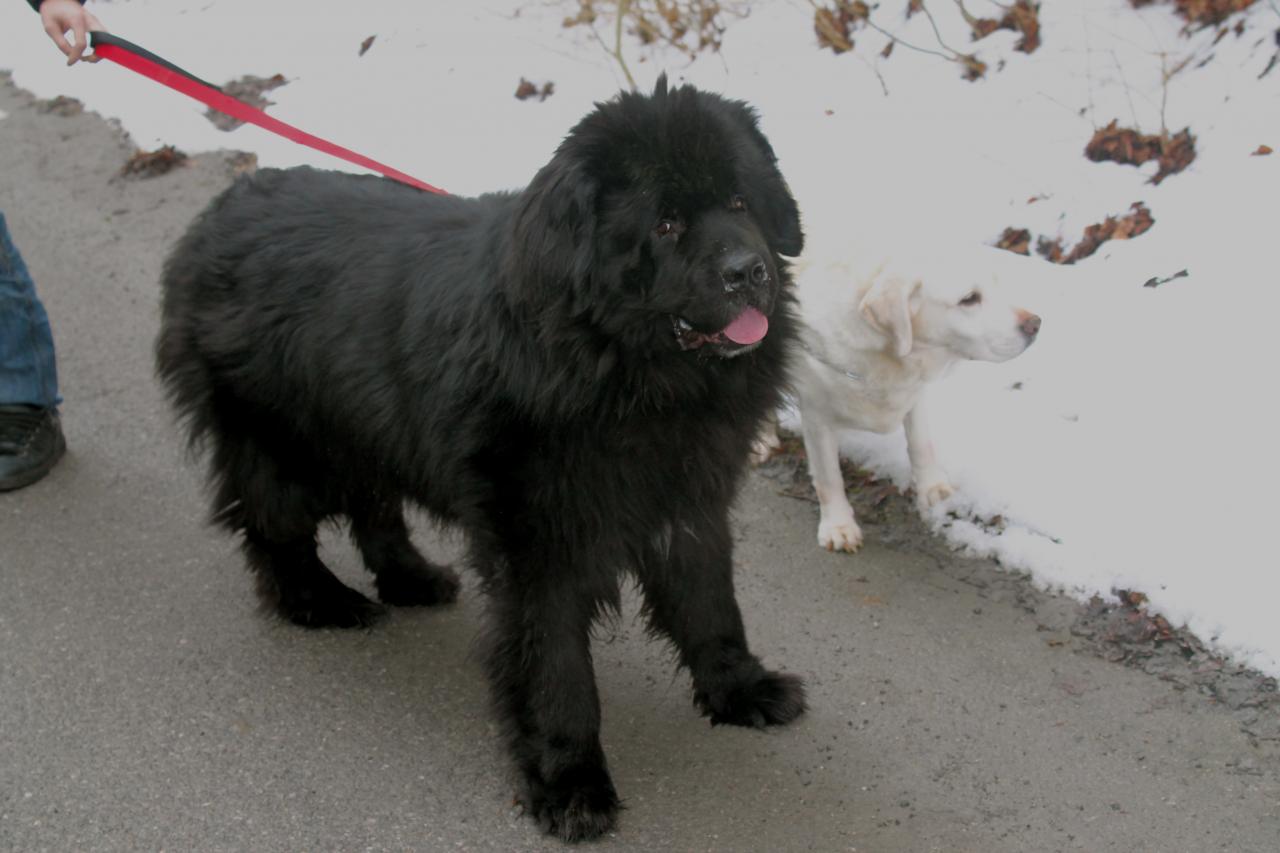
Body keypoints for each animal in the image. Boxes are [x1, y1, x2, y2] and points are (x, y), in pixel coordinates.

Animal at [154, 78, 803, 835]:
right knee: (276, 529)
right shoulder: (538, 542)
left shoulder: (688, 497)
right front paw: (570, 781)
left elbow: (710, 604)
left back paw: (411, 578)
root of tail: (217, 212)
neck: (619, 364)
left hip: (370, 420)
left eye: (740, 202)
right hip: (282, 439)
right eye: (666, 225)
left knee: (372, 503)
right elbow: (556, 668)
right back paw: (323, 602)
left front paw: (741, 687)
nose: (748, 270)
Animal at [757, 245, 1039, 550]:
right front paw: (838, 525)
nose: (1035, 324)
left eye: (995, 283)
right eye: (969, 299)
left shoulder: (914, 392)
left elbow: (921, 444)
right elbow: (828, 476)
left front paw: (932, 488)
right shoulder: (816, 415)